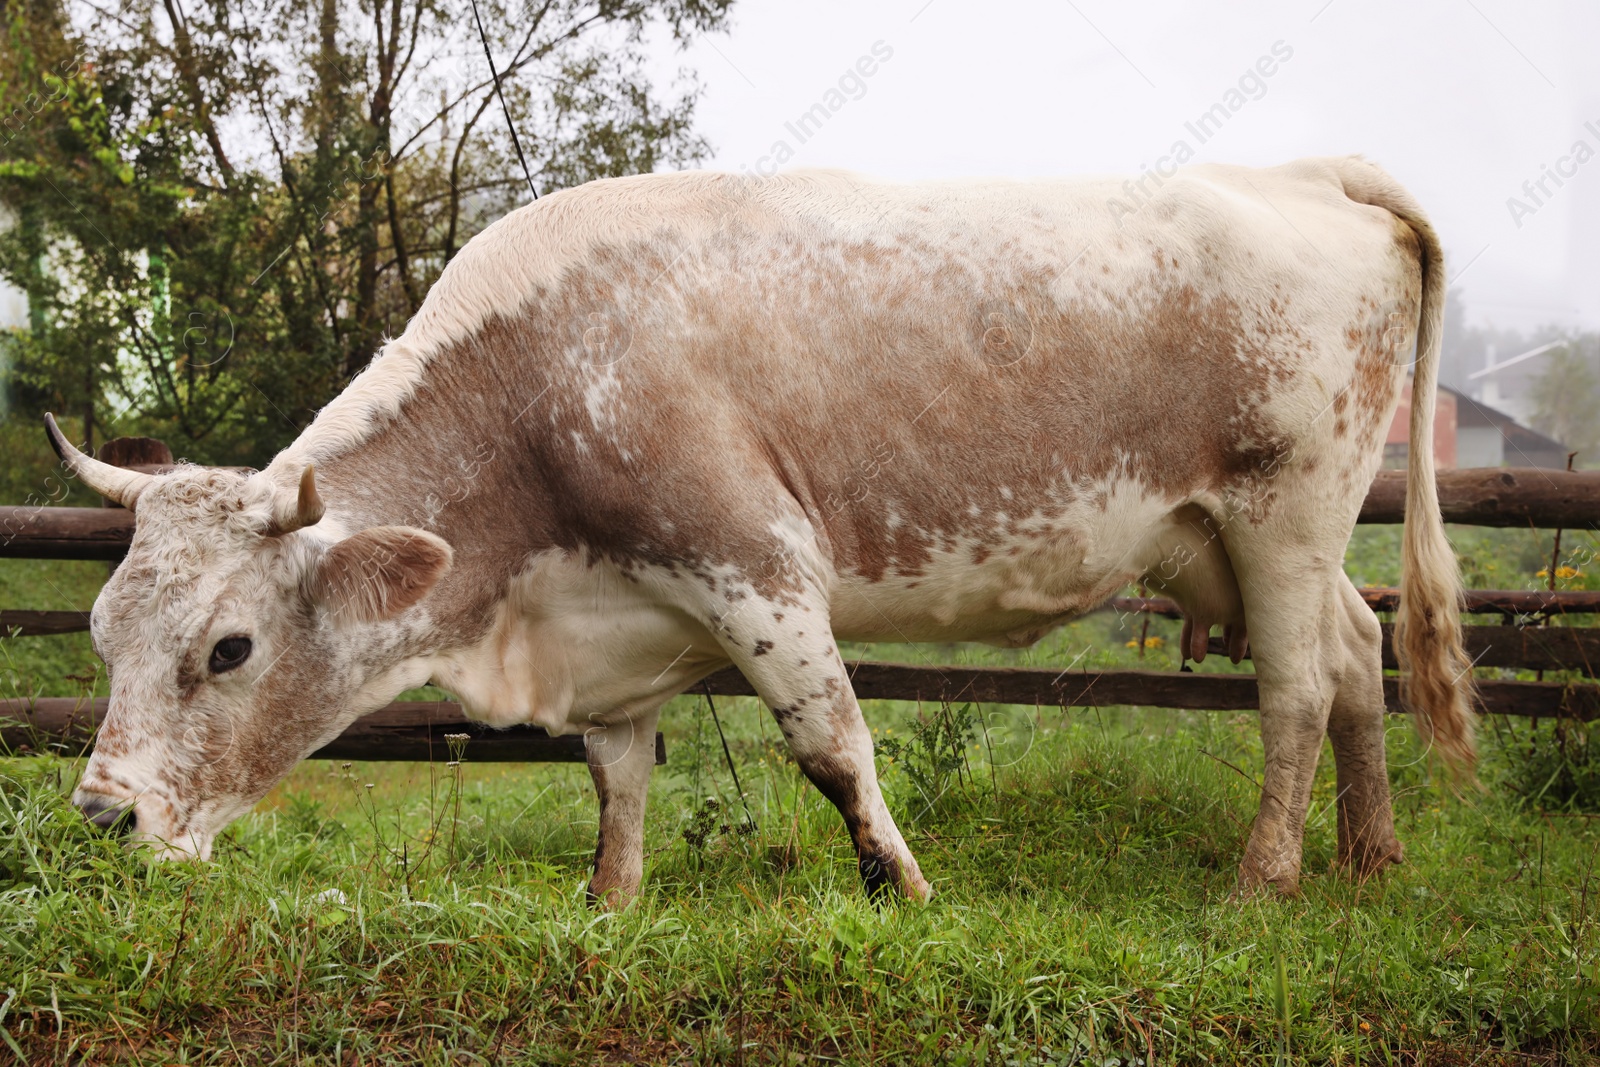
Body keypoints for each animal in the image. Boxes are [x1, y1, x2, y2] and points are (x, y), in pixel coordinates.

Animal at [53, 156, 1472, 902]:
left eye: (228, 647)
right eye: (103, 632)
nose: (102, 816)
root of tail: (1308, 172)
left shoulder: (755, 564)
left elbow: (832, 744)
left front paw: (905, 889)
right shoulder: (616, 629)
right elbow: (617, 776)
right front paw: (609, 905)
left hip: (1285, 510)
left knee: (1297, 687)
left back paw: (1263, 878)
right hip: (1239, 541)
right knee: (1357, 655)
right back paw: (1374, 854)